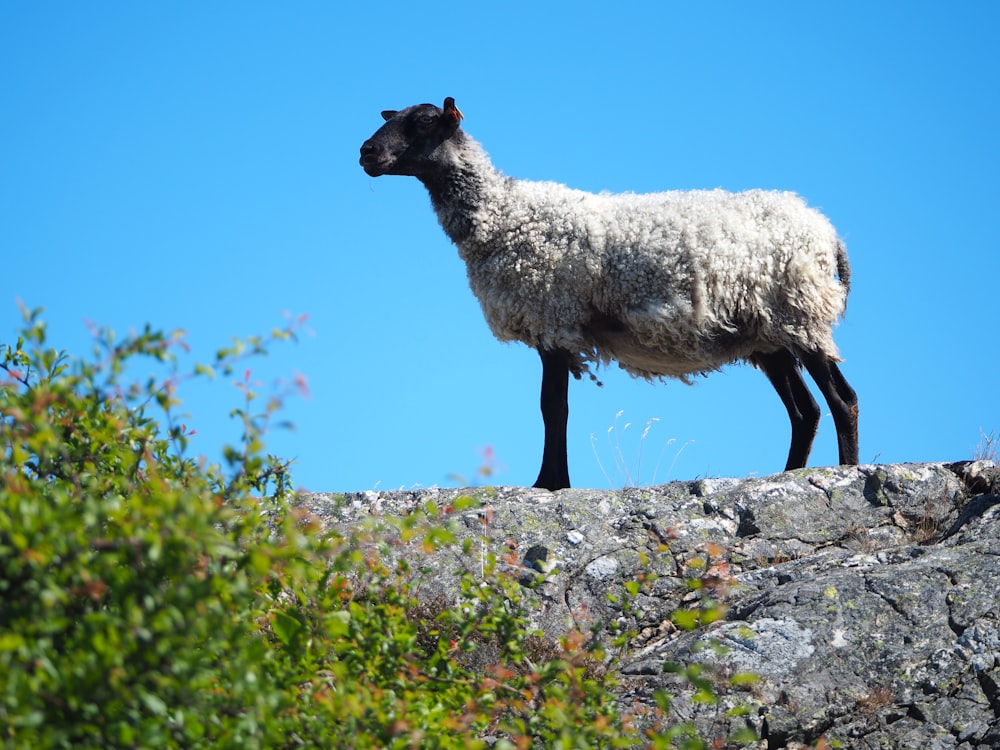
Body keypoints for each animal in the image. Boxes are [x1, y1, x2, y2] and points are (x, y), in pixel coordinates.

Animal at [360, 97, 860, 490]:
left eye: (425, 121)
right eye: (393, 115)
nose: (365, 152)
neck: (503, 215)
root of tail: (827, 232)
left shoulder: (553, 317)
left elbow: (552, 408)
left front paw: (550, 483)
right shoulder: (553, 323)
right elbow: (554, 408)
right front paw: (552, 480)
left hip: (800, 311)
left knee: (842, 400)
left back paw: (846, 473)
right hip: (769, 332)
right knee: (806, 411)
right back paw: (789, 475)